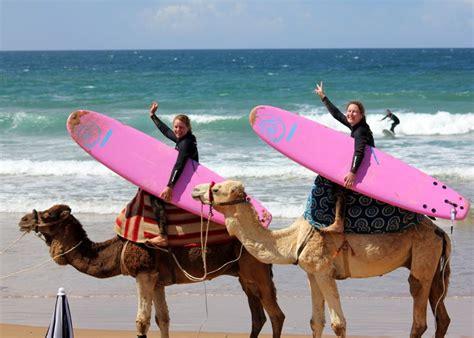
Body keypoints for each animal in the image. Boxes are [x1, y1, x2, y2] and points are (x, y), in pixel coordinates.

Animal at [18, 205, 286, 338]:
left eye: (48, 214)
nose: (23, 220)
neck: (119, 248)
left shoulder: (144, 274)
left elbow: (142, 322)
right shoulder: (157, 280)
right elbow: (163, 319)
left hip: (257, 269)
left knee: (276, 316)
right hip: (245, 276)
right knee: (257, 317)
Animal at [192, 181, 452, 338]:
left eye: (217, 189)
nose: (195, 189)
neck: (293, 239)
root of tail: (440, 232)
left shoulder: (325, 270)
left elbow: (339, 323)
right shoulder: (312, 273)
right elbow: (315, 321)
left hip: (423, 254)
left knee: (418, 309)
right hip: (431, 261)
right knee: (441, 315)